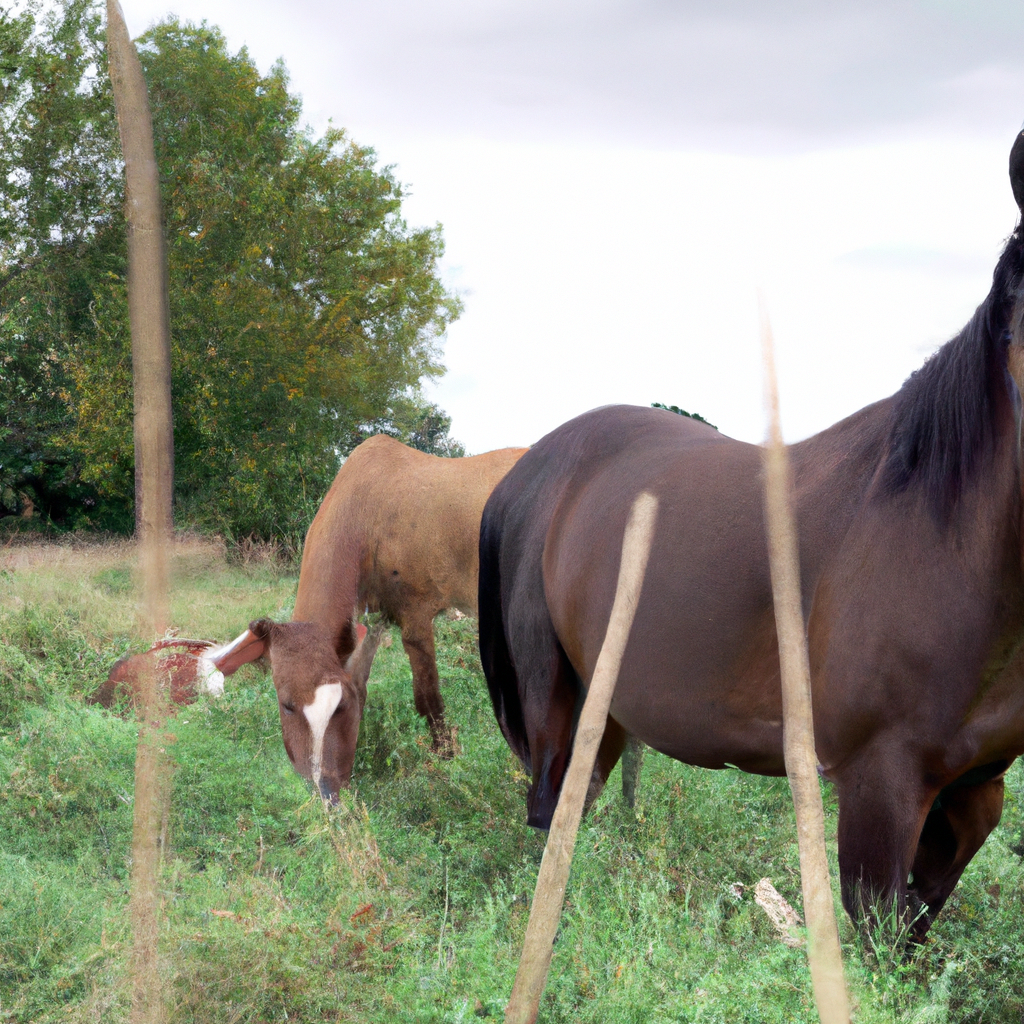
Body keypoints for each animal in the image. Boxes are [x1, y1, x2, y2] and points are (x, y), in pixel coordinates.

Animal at [209, 434, 528, 798]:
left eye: (338, 706)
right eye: (287, 704)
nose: (328, 792)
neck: (367, 509)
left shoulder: (416, 622)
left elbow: (428, 699)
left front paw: (446, 759)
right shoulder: (371, 623)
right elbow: (363, 683)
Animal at [477, 128, 1024, 937]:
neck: (947, 537)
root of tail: (524, 474)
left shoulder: (975, 791)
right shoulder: (878, 783)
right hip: (556, 699)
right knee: (551, 814)